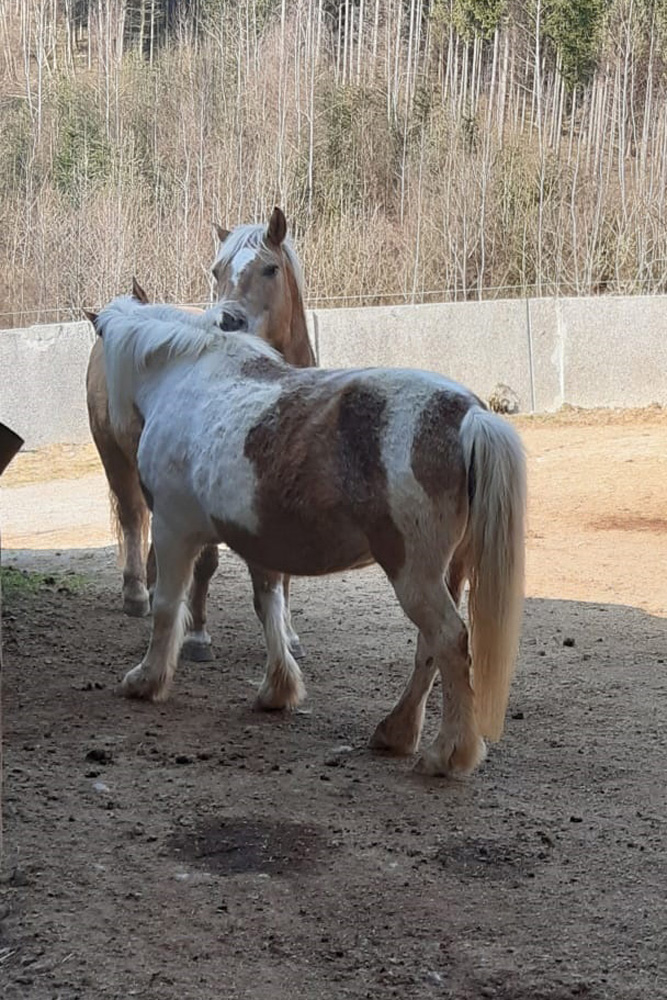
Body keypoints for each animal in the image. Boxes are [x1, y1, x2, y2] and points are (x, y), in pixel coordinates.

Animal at [85, 207, 315, 661]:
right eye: (216, 271)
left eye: (270, 268)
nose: (228, 321)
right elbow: (207, 560)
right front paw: (196, 635)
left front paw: (289, 634)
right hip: (114, 455)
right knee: (133, 515)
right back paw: (138, 593)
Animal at [91, 295, 526, 778]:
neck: (187, 378)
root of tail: (469, 414)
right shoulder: (258, 542)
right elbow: (269, 608)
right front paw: (278, 689)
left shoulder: (172, 530)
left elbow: (168, 607)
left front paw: (146, 679)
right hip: (449, 571)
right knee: (430, 647)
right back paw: (395, 732)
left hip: (415, 574)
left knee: (450, 641)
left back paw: (446, 753)